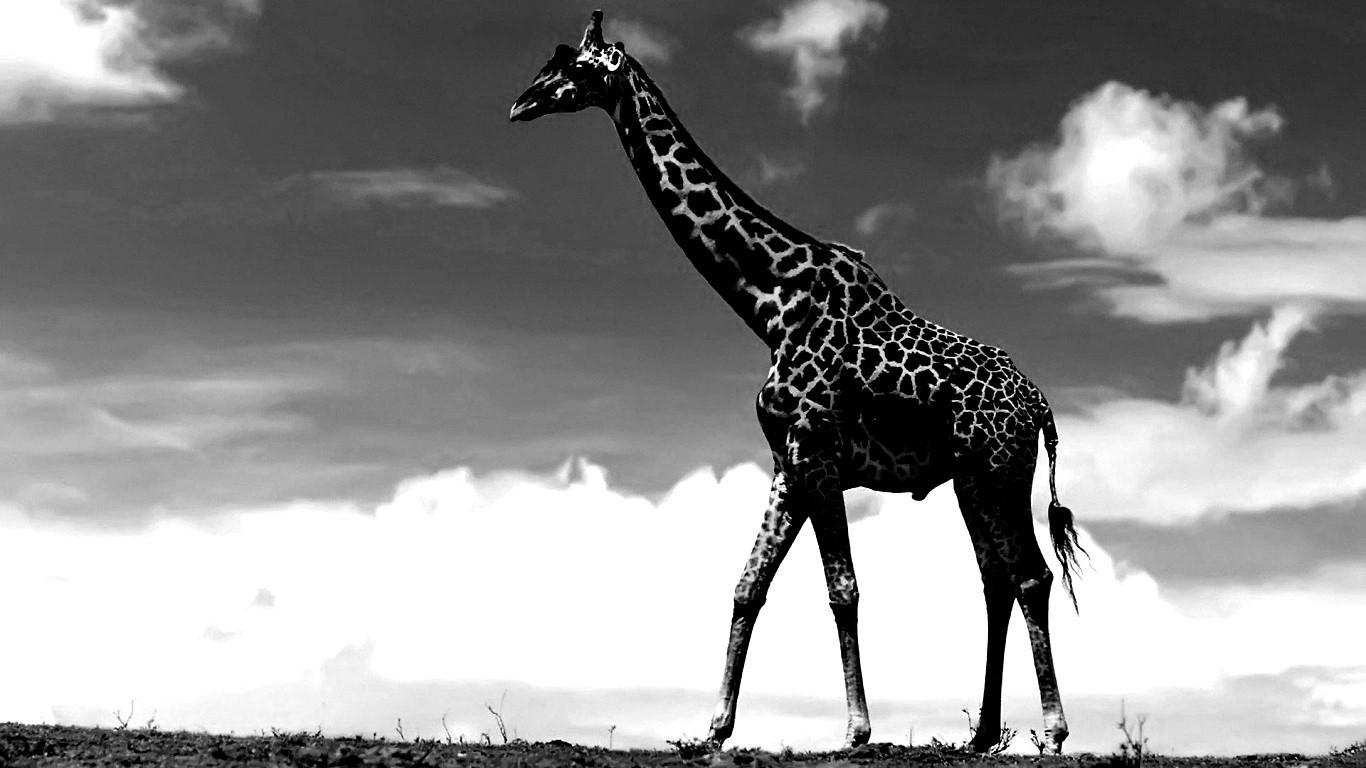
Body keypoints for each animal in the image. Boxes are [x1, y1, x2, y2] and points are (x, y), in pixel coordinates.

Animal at [510, 11, 1087, 753]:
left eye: (573, 66)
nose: (520, 103)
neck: (767, 303)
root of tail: (1040, 404)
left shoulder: (817, 452)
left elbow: (843, 588)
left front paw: (857, 730)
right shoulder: (787, 460)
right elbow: (747, 585)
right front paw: (714, 728)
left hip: (999, 468)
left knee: (1030, 574)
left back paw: (1052, 732)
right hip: (970, 479)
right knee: (996, 578)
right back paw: (983, 734)